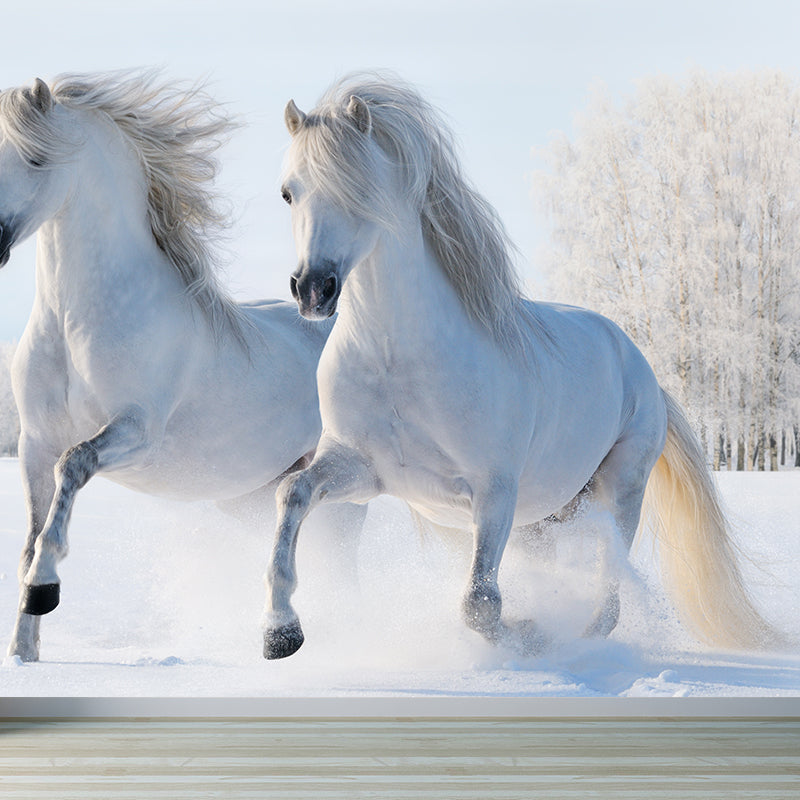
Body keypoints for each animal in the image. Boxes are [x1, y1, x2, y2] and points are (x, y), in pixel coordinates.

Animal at [1, 72, 362, 663]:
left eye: (35, 159)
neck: (75, 320)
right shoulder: (34, 443)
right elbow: (30, 539)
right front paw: (23, 653)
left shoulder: (135, 430)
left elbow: (73, 470)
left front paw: (44, 590)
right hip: (249, 497)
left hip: (343, 489)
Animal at [263, 72, 781, 660]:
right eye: (288, 191)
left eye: (360, 189)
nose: (313, 289)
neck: (398, 360)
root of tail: (640, 365)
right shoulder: (363, 470)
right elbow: (291, 493)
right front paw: (280, 632)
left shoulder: (494, 492)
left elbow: (480, 604)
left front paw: (530, 636)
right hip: (545, 518)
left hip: (618, 490)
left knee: (609, 591)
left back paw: (579, 640)